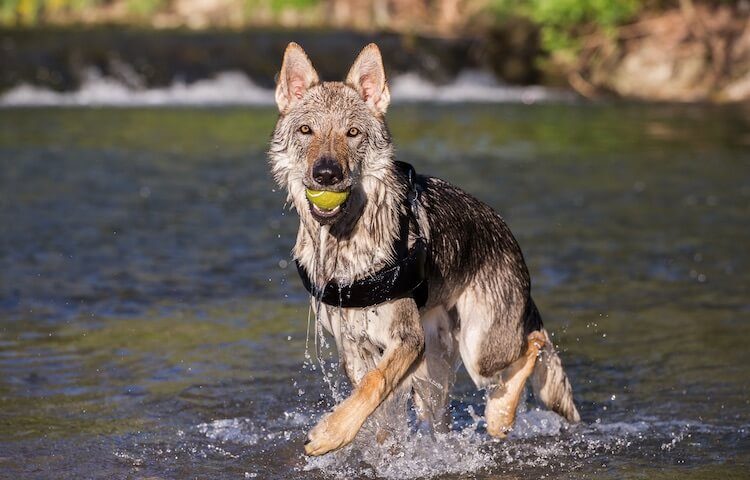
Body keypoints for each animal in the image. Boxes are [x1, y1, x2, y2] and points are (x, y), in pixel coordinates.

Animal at [268, 43, 580, 456]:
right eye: (306, 130)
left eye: (352, 133)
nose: (326, 174)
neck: (344, 241)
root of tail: (507, 233)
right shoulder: (354, 348)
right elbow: (374, 403)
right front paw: (379, 449)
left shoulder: (406, 340)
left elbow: (374, 385)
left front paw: (329, 434)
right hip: (433, 374)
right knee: (443, 417)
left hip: (479, 350)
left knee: (535, 342)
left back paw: (499, 417)